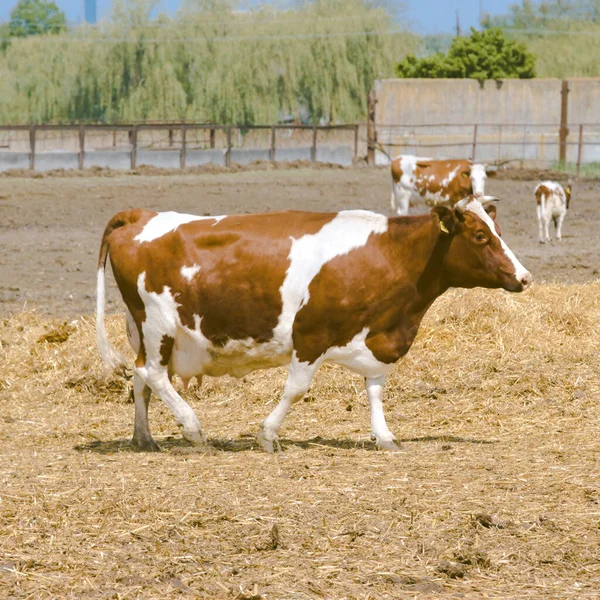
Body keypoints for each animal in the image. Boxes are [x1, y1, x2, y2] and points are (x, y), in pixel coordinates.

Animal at [96, 199, 532, 452]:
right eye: (480, 236)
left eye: (497, 232)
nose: (524, 277)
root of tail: (141, 215)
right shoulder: (310, 334)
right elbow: (297, 388)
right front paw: (268, 434)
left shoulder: (377, 337)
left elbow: (375, 389)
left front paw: (385, 437)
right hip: (158, 324)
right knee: (152, 373)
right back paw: (192, 428)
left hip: (142, 328)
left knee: (141, 379)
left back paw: (144, 438)